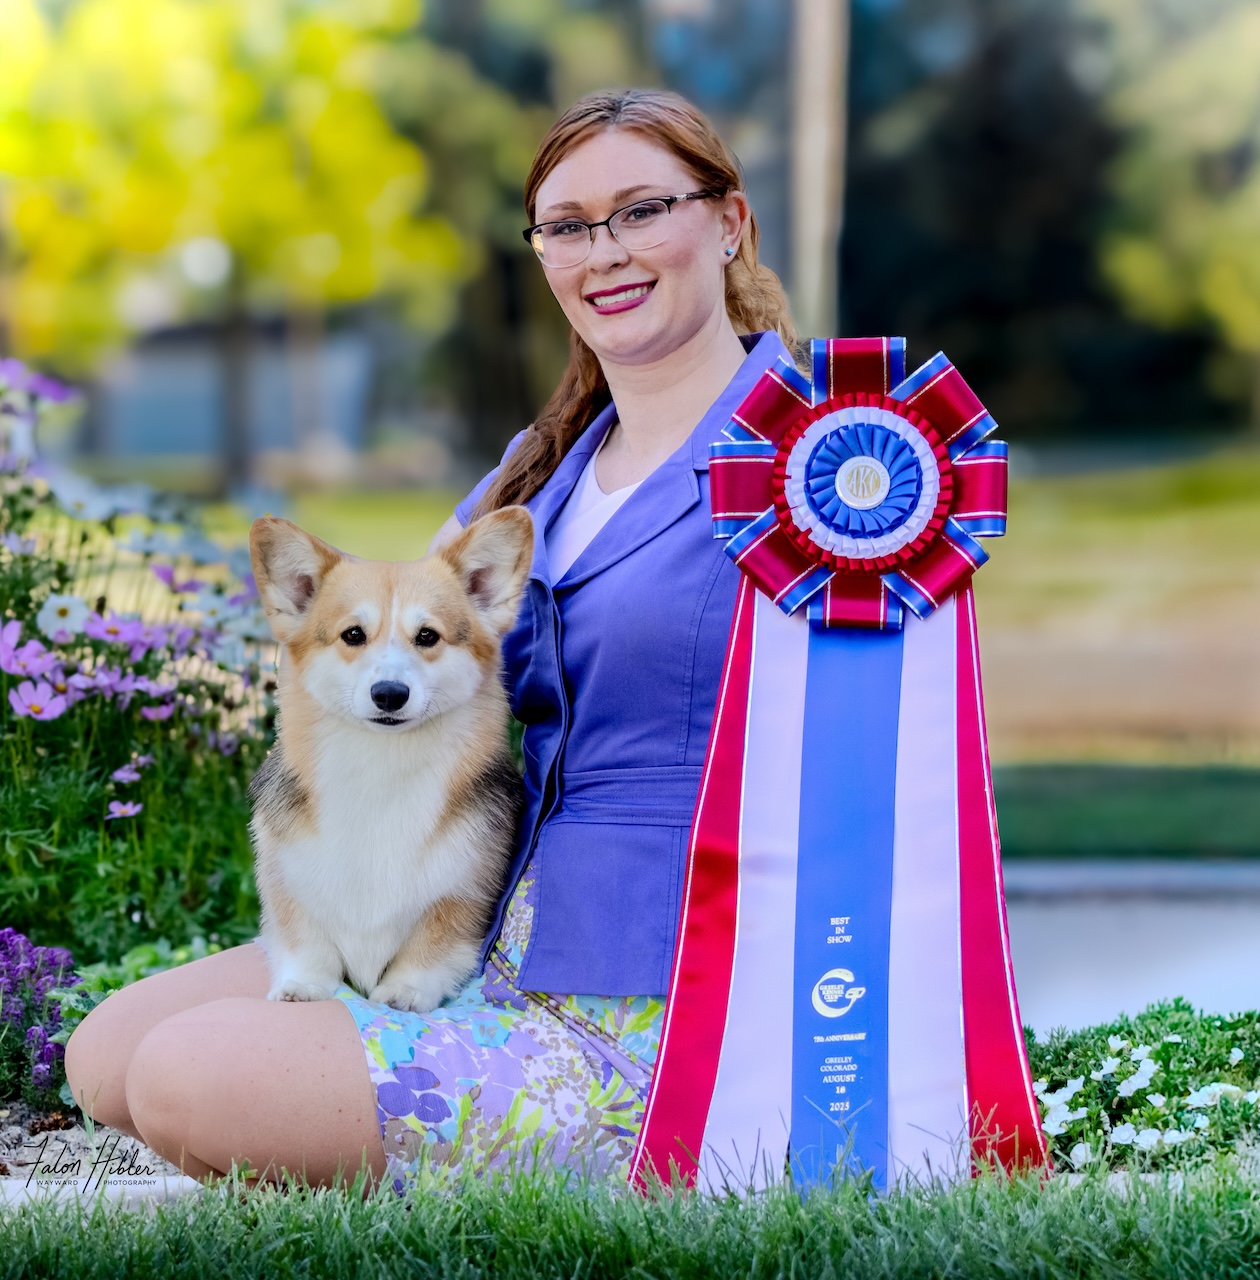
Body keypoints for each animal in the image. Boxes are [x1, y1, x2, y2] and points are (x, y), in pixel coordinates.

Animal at [246, 506, 533, 1014]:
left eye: (428, 636)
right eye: (353, 634)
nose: (390, 694)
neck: (381, 762)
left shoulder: (461, 893)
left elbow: (432, 945)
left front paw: (405, 992)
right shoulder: (288, 881)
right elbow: (305, 941)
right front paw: (304, 986)